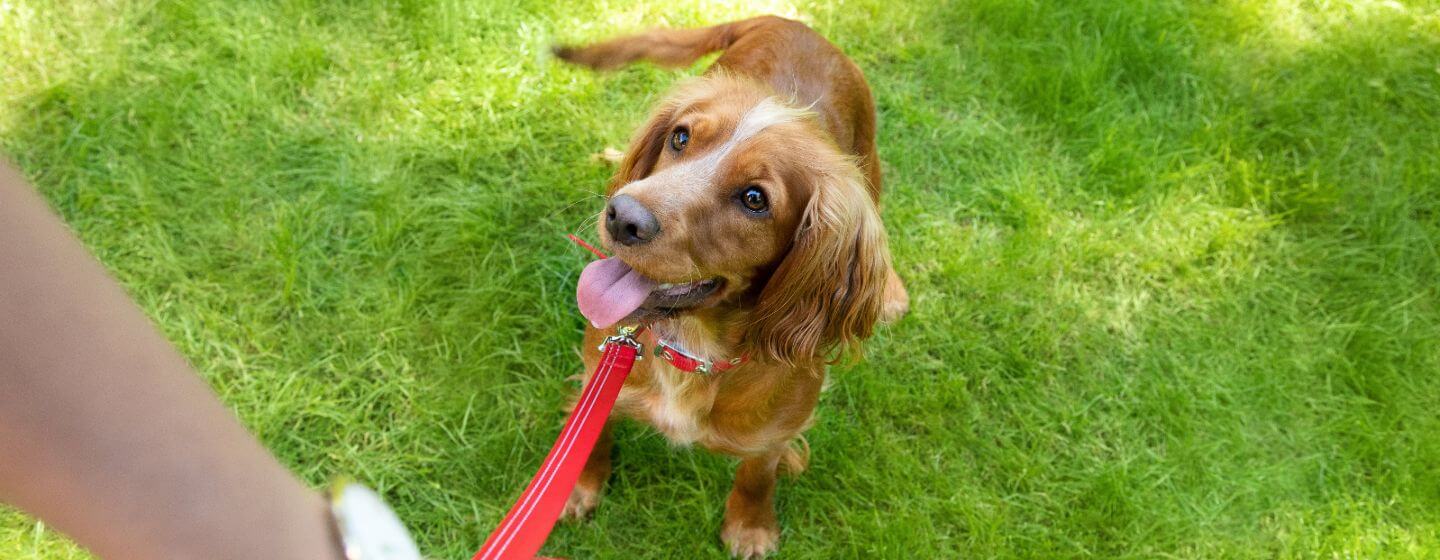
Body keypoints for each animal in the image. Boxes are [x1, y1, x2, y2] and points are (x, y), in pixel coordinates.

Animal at [552, 15, 904, 555]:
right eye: (679, 138)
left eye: (755, 199)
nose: (621, 216)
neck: (691, 348)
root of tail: (788, 20)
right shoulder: (599, 370)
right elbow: (590, 436)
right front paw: (577, 488)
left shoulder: (777, 431)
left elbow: (758, 474)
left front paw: (750, 525)